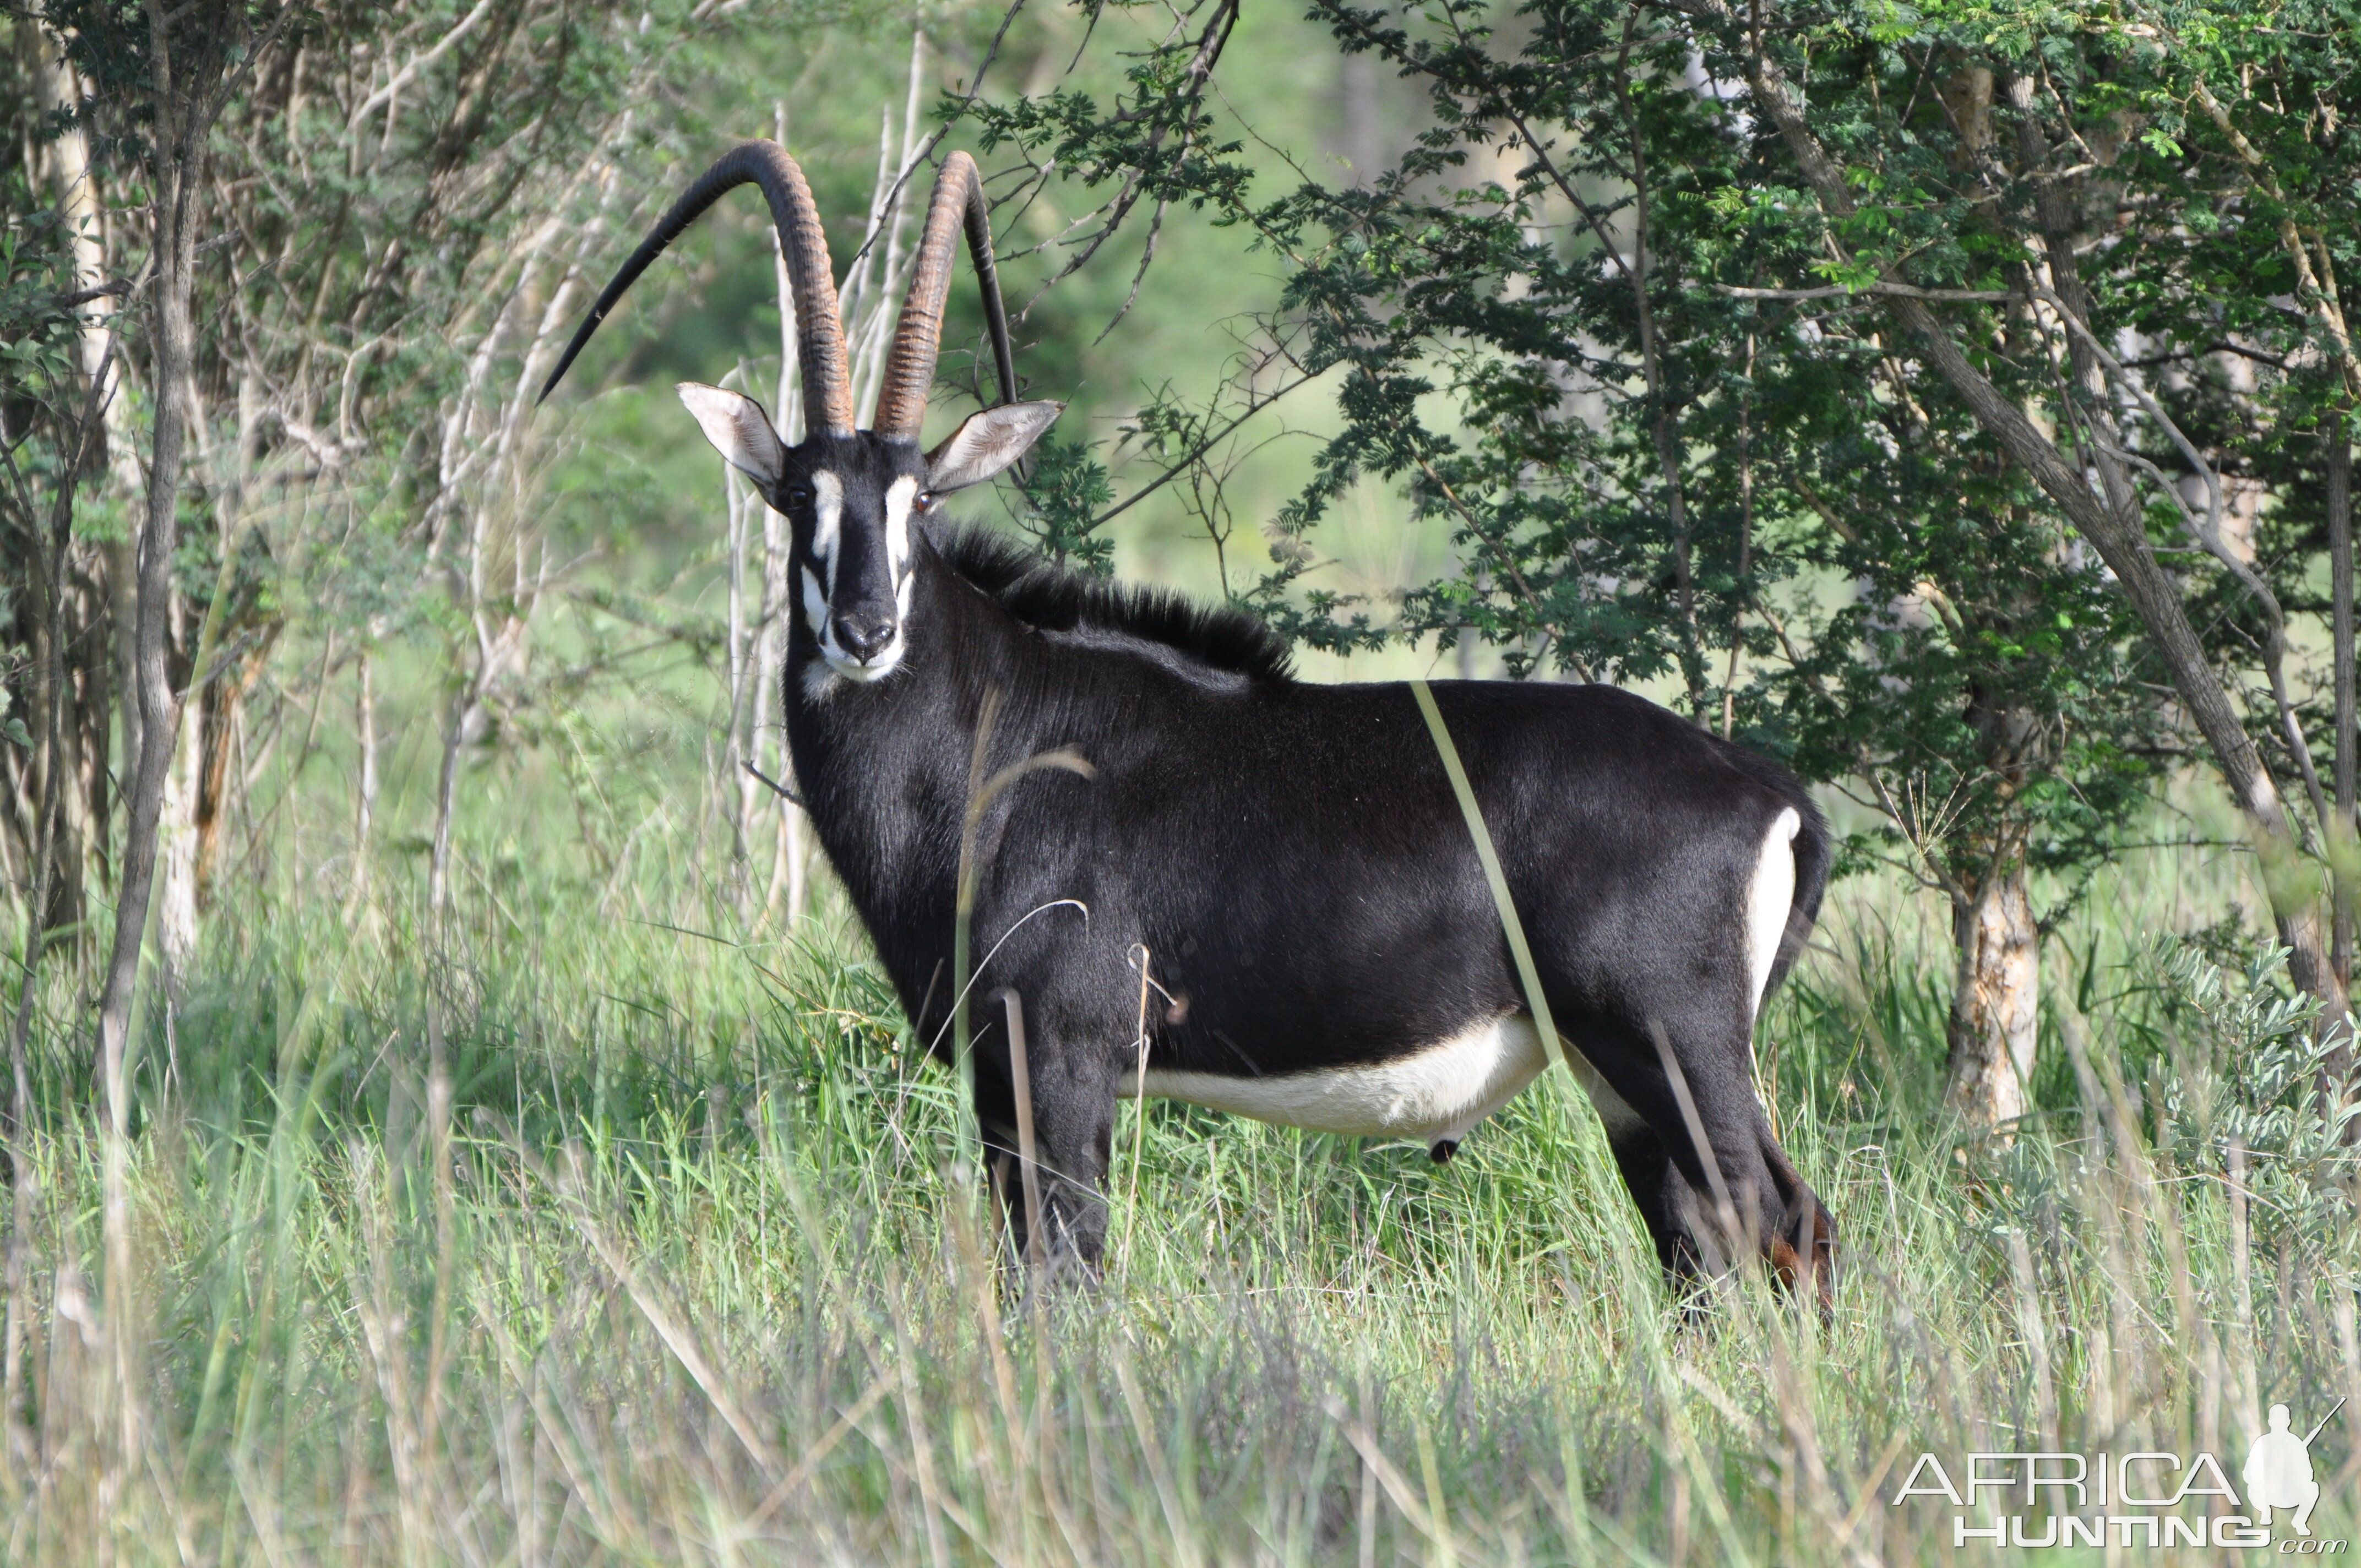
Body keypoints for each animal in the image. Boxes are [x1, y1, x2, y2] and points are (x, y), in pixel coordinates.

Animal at [540, 144, 1841, 1294]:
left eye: (920, 501)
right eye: (796, 495)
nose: (865, 630)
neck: (998, 733)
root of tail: (1768, 793)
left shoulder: (1061, 1055)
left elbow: (1064, 1271)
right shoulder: (998, 1077)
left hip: (1668, 1043)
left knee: (1782, 1220)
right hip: (1624, 1075)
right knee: (1701, 1240)